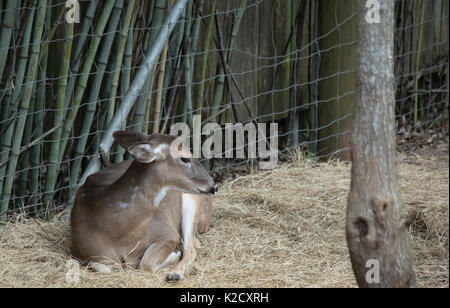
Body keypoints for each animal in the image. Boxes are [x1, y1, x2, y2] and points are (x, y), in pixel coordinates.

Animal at [71, 131, 218, 280]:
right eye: (185, 158)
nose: (214, 186)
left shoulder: (168, 232)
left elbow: (145, 264)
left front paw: (174, 255)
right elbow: (103, 267)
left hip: (192, 202)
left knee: (191, 248)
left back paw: (175, 273)